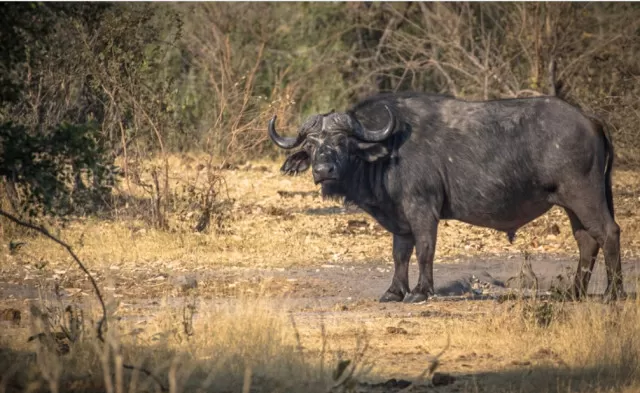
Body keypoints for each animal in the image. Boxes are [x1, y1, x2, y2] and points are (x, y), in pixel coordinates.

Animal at [268, 92, 624, 304]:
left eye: (341, 141)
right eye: (311, 144)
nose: (323, 170)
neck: (388, 150)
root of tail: (590, 120)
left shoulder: (423, 209)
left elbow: (425, 249)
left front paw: (420, 292)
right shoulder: (400, 220)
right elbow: (399, 254)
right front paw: (394, 291)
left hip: (584, 195)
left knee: (608, 233)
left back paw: (613, 292)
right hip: (570, 203)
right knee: (586, 241)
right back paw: (574, 292)